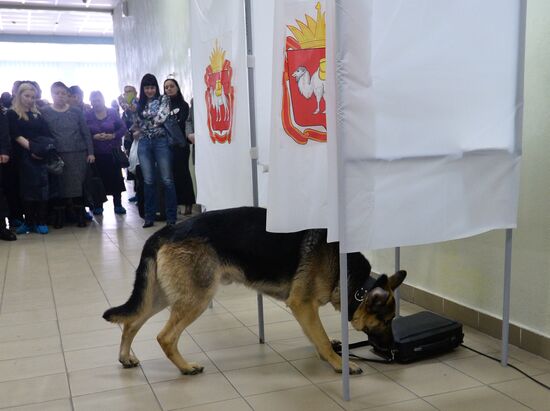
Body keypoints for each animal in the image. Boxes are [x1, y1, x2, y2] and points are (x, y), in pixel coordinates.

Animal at [104, 208, 406, 374]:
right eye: (388, 320)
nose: (393, 348)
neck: (353, 278)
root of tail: (168, 229)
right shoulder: (302, 304)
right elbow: (319, 337)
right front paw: (339, 363)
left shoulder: (305, 310)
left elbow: (316, 336)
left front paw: (329, 354)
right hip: (196, 299)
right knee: (165, 337)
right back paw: (186, 368)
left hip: (163, 296)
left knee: (131, 322)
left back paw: (125, 357)